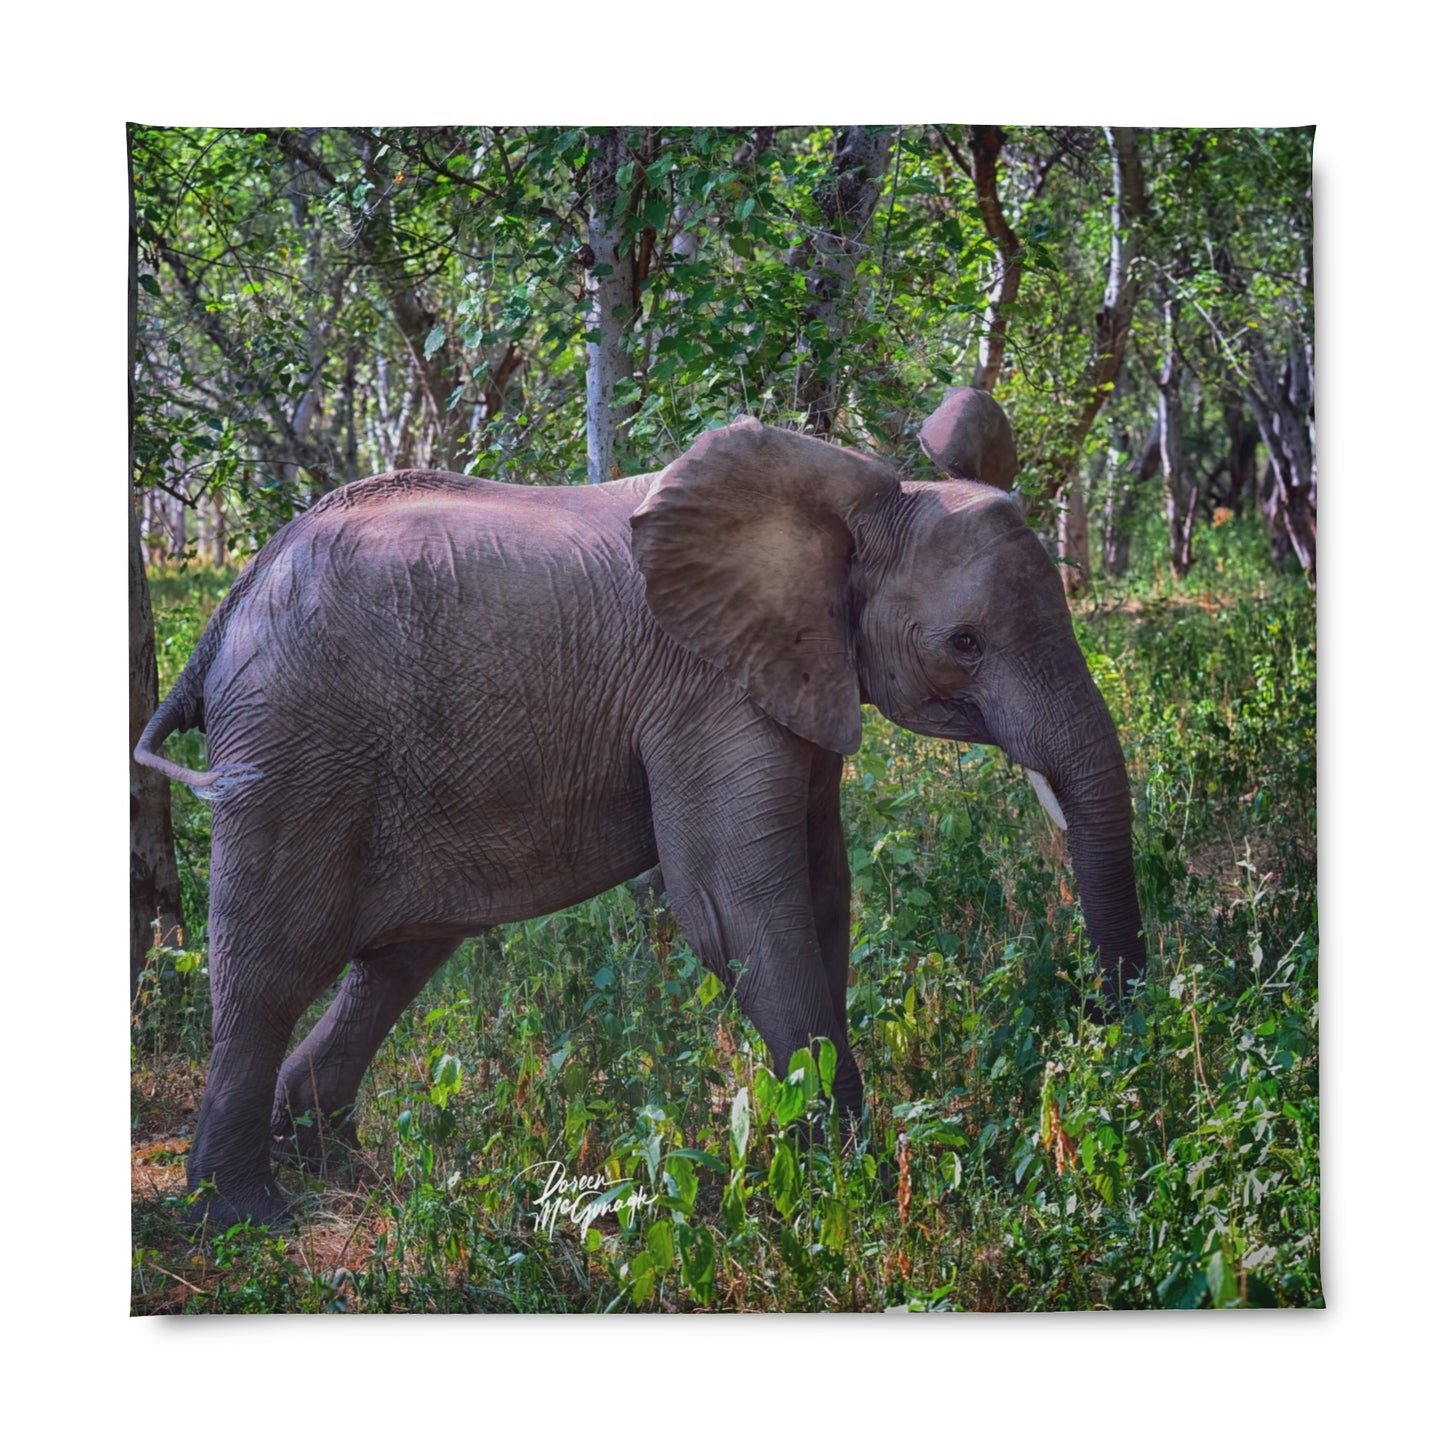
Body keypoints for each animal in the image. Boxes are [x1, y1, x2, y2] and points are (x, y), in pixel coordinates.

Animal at [135, 389, 1145, 1225]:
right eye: (963, 643)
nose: (1112, 1036)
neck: (853, 505)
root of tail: (229, 609)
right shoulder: (706, 688)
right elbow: (734, 903)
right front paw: (842, 1180)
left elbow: (822, 890)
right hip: (298, 743)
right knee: (272, 965)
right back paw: (246, 1215)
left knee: (399, 957)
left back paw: (334, 1166)